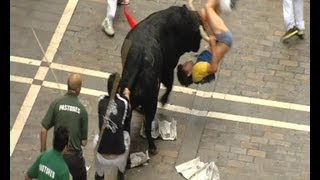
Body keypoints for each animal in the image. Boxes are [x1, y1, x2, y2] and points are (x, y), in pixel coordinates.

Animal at [118, 4, 202, 153]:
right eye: (196, 33)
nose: (198, 45)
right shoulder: (168, 67)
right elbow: (169, 84)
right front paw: (164, 99)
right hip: (152, 101)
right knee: (148, 124)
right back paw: (152, 147)